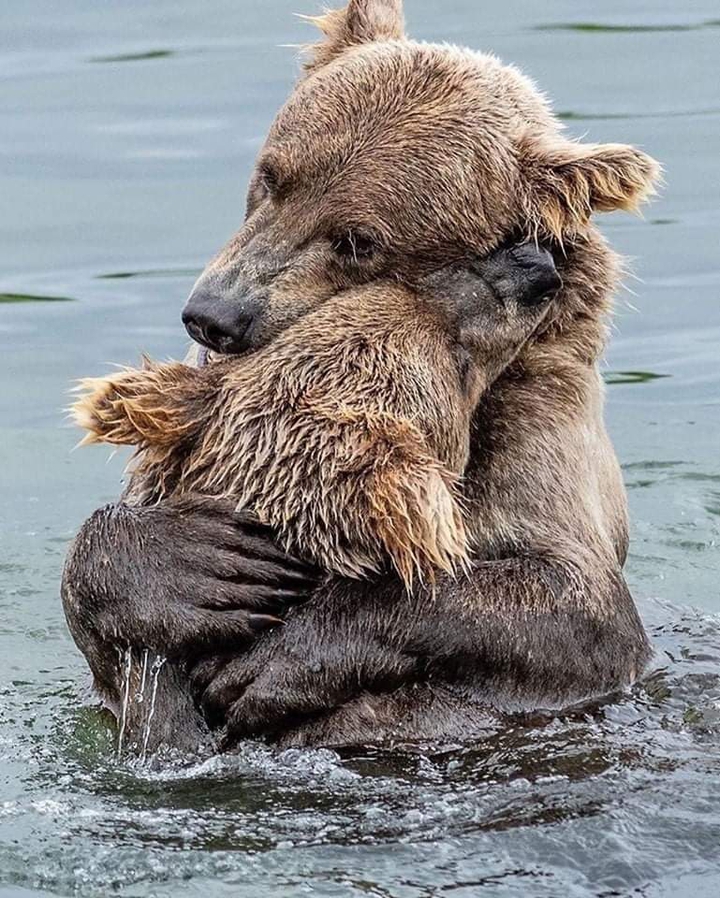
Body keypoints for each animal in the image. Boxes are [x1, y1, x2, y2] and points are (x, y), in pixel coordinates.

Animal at [62, 0, 660, 752]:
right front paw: (197, 566)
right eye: (272, 176)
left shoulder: (537, 432)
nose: (213, 315)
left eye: (358, 240)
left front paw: (277, 664)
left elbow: (572, 601)